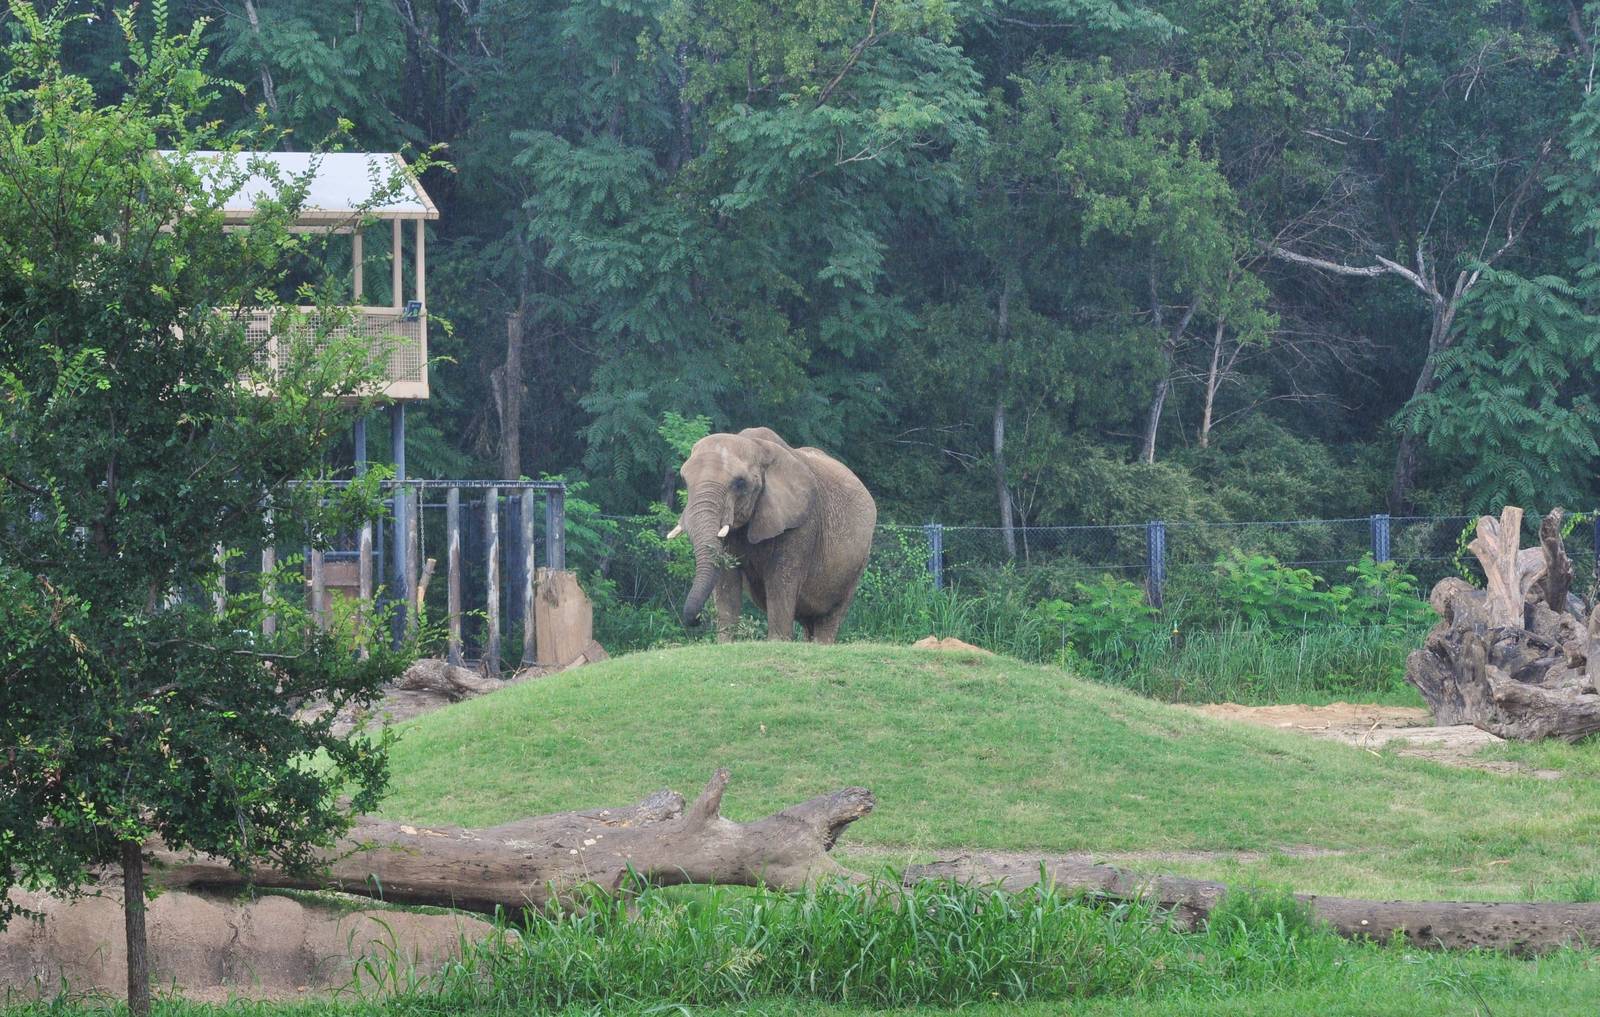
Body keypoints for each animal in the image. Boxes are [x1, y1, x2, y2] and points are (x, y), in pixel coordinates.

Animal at [670, 427, 876, 643]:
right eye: (684, 480)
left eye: (739, 483)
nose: (697, 619)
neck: (756, 446)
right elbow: (726, 579)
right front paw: (726, 643)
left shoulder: (802, 521)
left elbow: (781, 580)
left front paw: (777, 642)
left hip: (858, 563)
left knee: (830, 615)